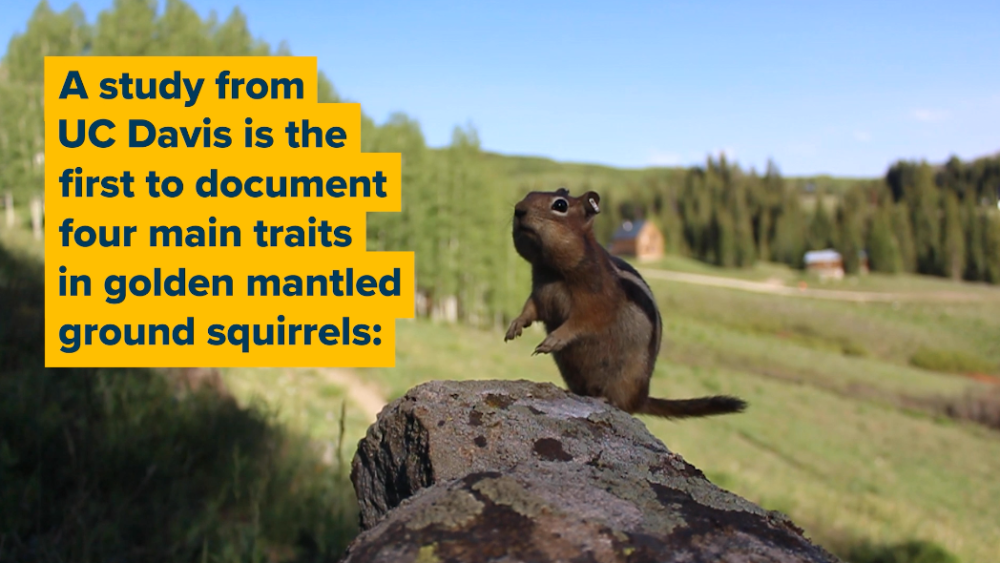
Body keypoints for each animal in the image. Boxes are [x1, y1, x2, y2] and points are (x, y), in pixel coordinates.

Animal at [512, 188, 748, 418]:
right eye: (529, 194)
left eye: (560, 205)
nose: (518, 209)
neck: (551, 270)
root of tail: (641, 399)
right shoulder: (540, 295)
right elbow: (530, 309)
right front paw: (515, 326)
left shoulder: (598, 302)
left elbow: (581, 322)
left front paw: (553, 340)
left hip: (625, 378)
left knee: (621, 403)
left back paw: (604, 399)